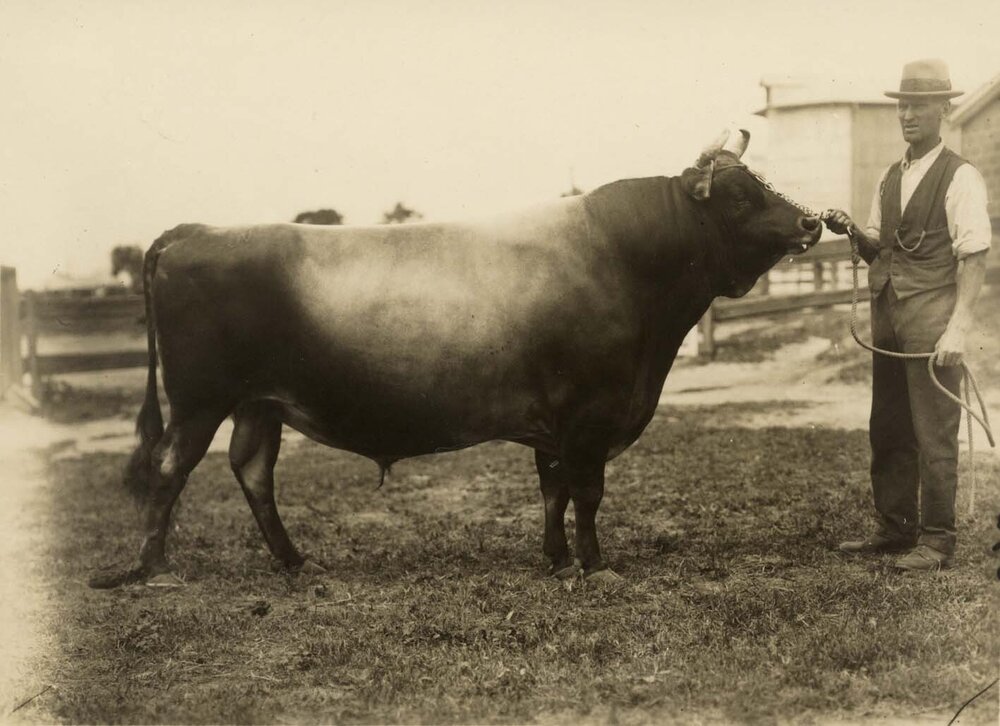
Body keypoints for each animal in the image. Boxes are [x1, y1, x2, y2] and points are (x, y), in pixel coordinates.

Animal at [90, 129, 821, 589]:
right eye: (740, 195)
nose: (812, 222)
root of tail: (194, 230)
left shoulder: (553, 422)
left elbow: (553, 491)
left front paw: (558, 561)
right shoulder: (588, 415)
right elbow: (586, 493)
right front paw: (596, 566)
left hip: (259, 403)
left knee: (252, 474)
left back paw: (297, 564)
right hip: (200, 400)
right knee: (169, 469)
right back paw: (155, 570)